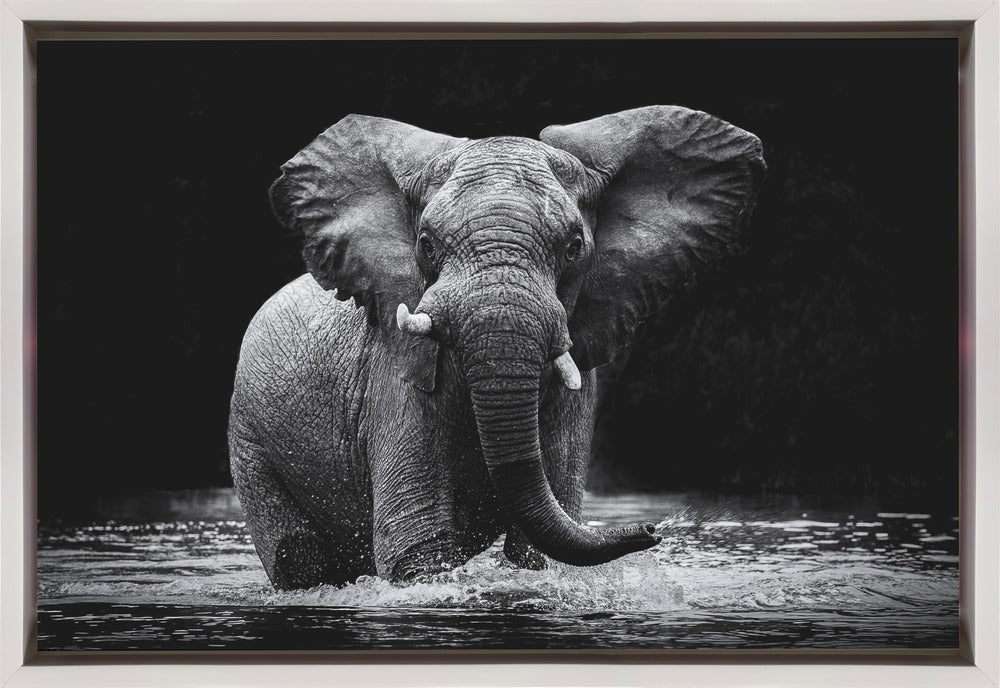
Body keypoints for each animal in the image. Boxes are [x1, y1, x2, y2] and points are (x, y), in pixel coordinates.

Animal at [228, 105, 765, 590]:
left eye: (574, 247)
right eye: (425, 244)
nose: (654, 528)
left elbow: (537, 551)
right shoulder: (396, 376)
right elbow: (416, 547)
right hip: (248, 437)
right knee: (297, 559)